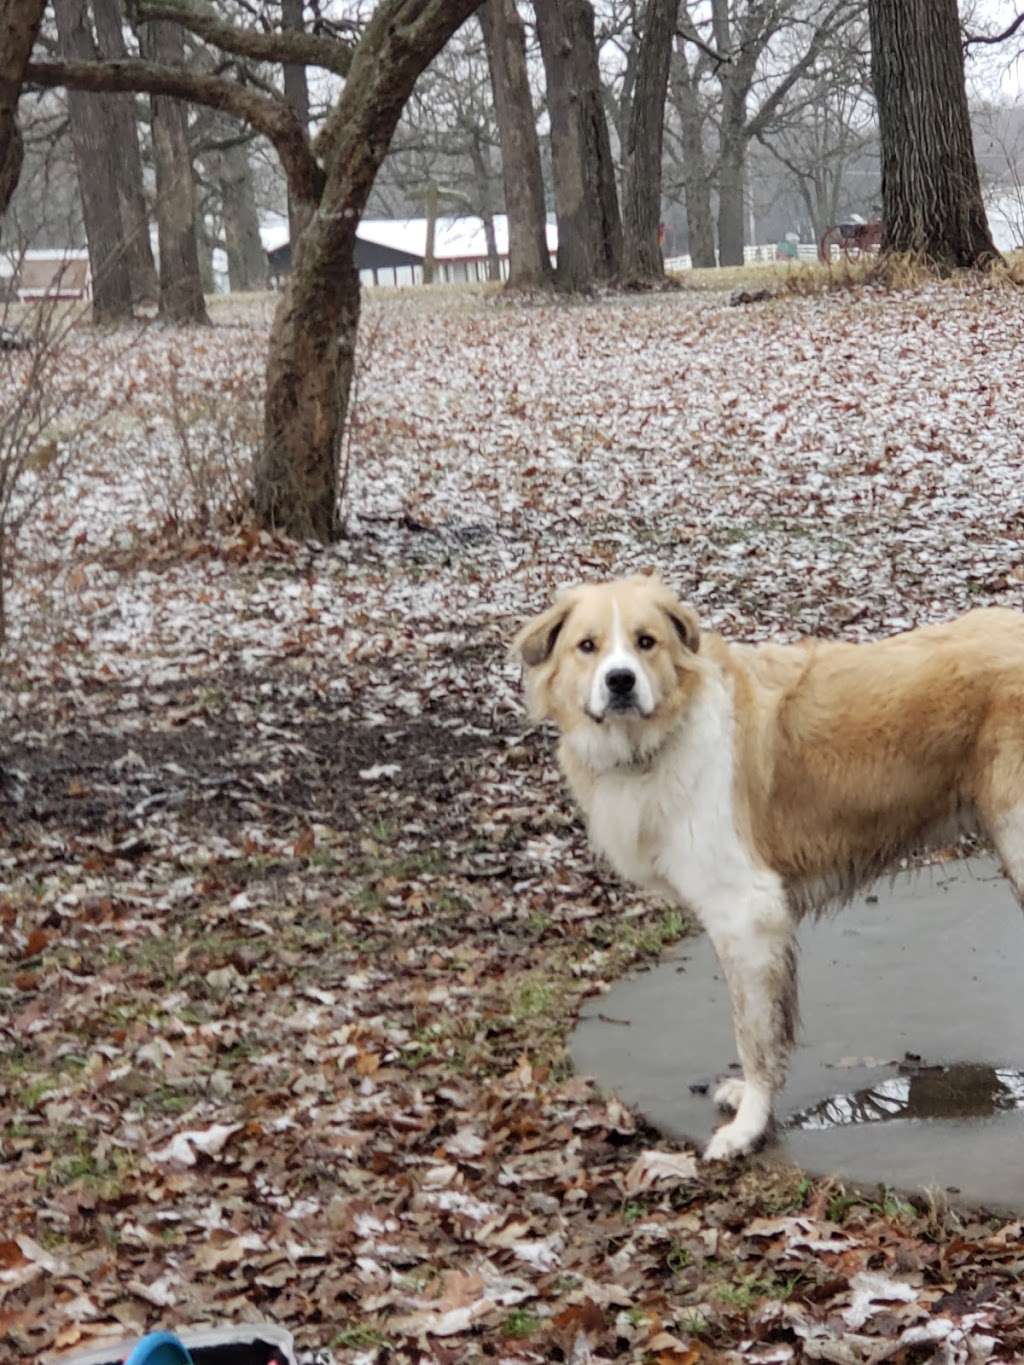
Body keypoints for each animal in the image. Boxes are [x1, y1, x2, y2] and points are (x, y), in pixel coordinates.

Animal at [516, 570, 1024, 1157]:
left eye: (646, 642)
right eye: (588, 646)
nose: (620, 681)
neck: (665, 733)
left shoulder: (748, 913)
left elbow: (753, 1032)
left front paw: (748, 1128)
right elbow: (773, 1025)